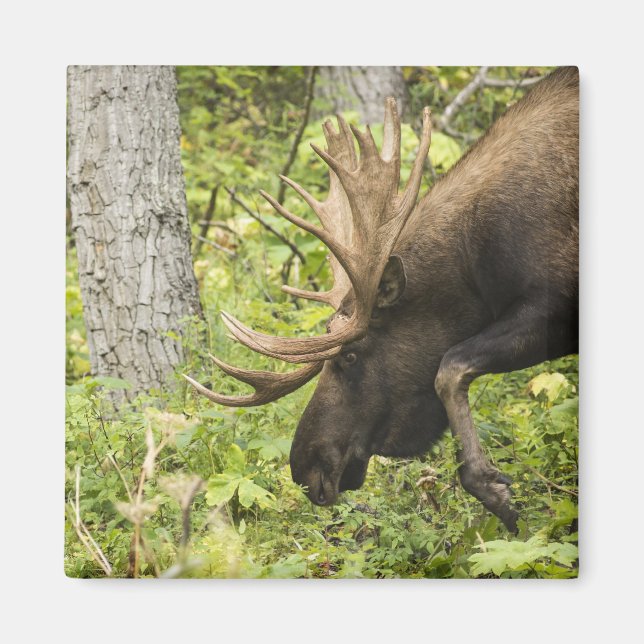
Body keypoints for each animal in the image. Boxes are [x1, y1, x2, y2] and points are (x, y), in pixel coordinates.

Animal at [184, 67, 579, 533]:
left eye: (349, 356)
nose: (306, 468)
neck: (477, 263)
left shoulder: (553, 304)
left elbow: (450, 367)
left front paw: (494, 490)